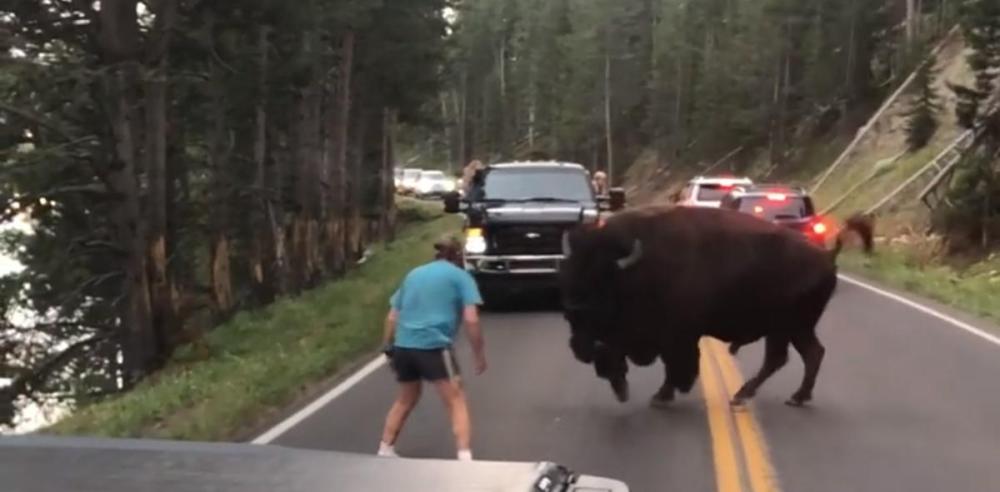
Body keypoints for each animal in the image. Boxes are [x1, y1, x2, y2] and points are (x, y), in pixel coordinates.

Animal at [564, 204, 876, 408]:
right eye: (569, 274)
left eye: (602, 285)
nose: (578, 347)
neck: (637, 267)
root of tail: (827, 255)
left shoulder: (675, 336)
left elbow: (674, 363)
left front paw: (663, 395)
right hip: (793, 329)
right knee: (805, 354)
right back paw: (781, 396)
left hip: (788, 327)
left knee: (789, 357)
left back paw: (760, 396)